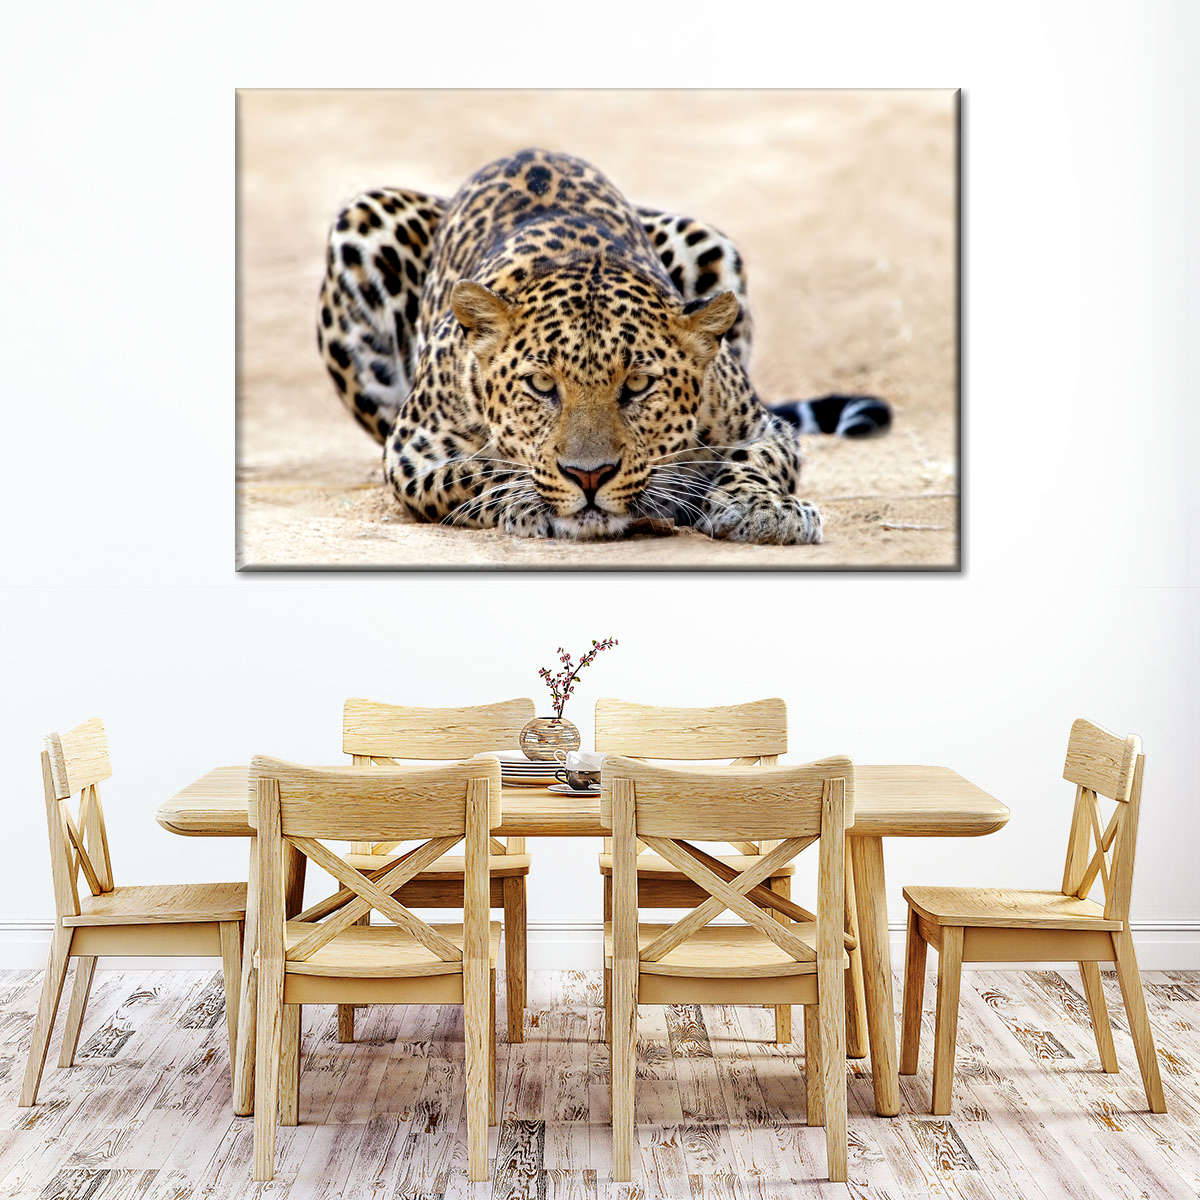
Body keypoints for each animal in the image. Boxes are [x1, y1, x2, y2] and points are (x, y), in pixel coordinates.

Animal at [317, 149, 890, 544]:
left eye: (637, 385)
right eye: (541, 385)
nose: (588, 476)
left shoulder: (762, 426)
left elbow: (755, 460)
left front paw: (763, 509)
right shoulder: (412, 452)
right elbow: (478, 471)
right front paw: (530, 500)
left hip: (705, 238)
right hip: (363, 220)